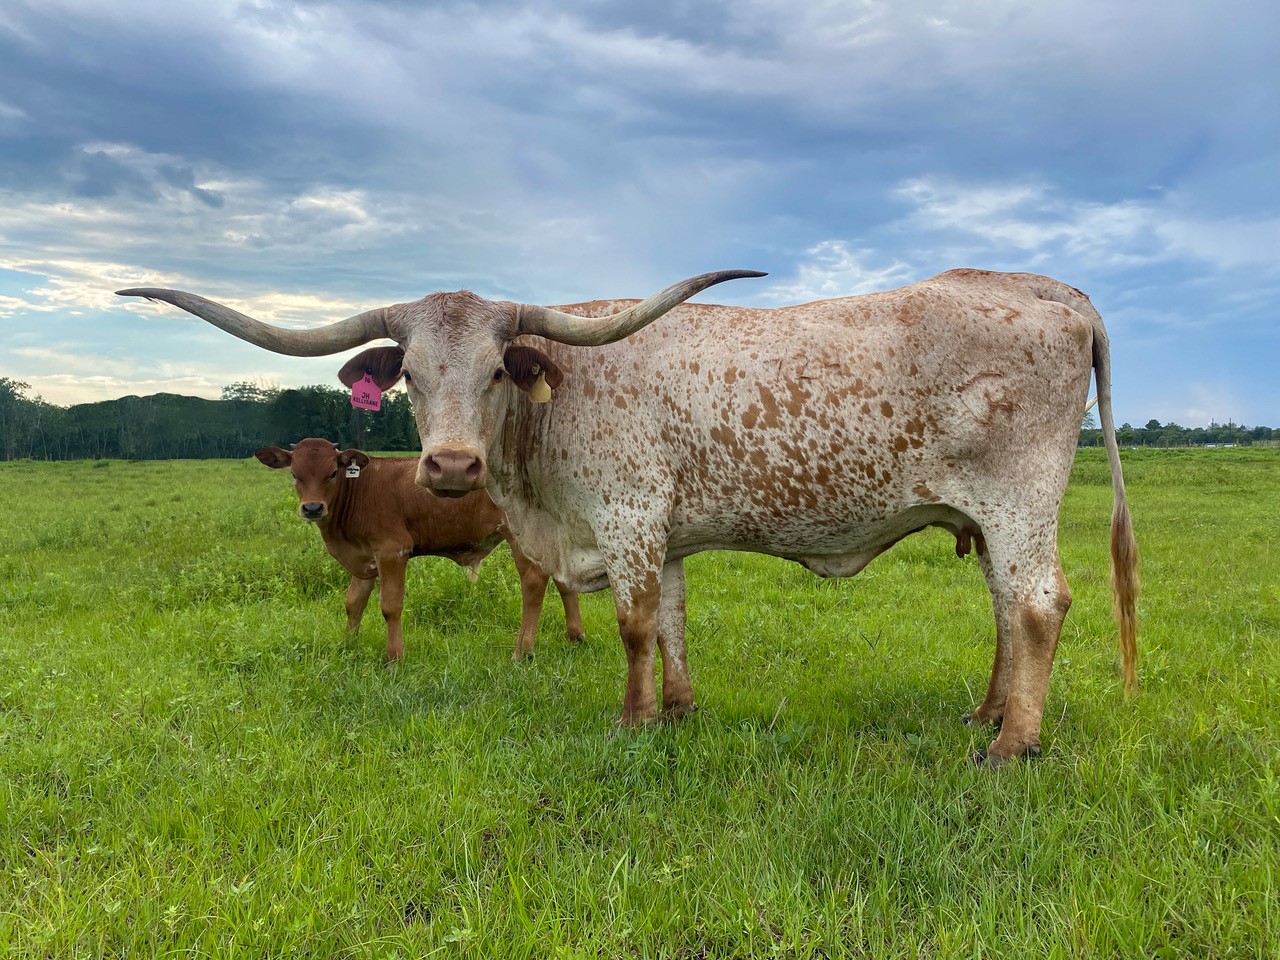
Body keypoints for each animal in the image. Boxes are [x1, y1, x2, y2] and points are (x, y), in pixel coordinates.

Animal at [254, 438, 584, 662]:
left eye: (332, 473)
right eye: (294, 474)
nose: (312, 508)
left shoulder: (392, 551)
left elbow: (390, 606)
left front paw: (394, 657)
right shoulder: (364, 558)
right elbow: (353, 603)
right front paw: (347, 645)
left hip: (520, 539)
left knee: (534, 584)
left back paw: (523, 651)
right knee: (564, 581)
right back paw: (575, 636)